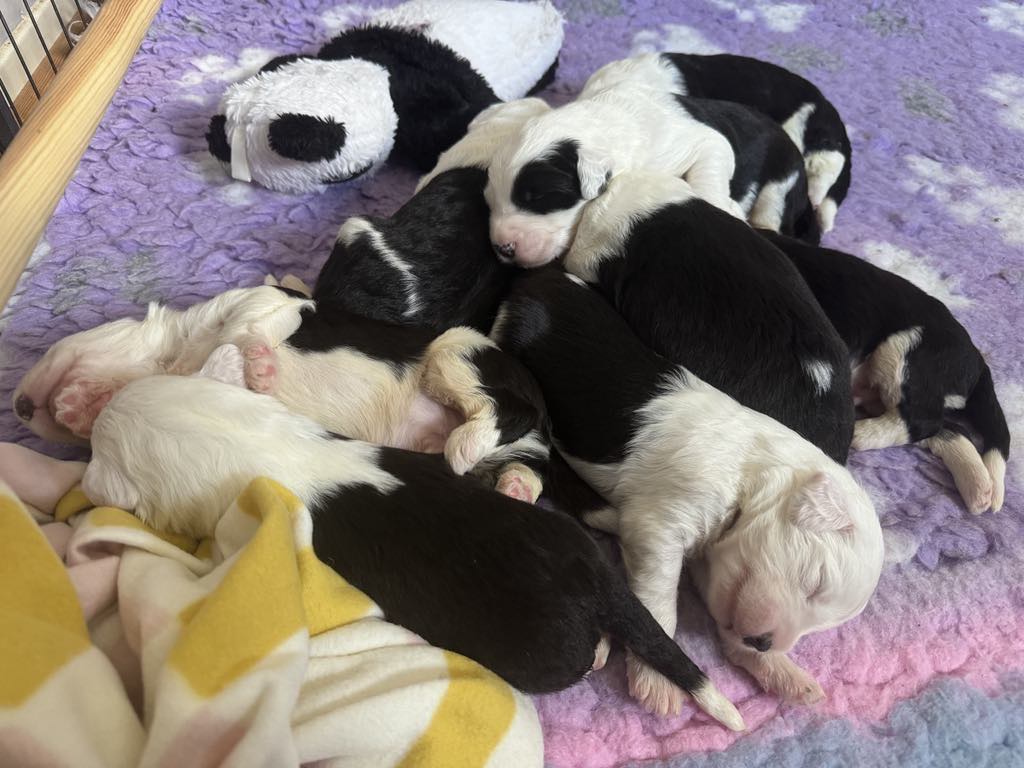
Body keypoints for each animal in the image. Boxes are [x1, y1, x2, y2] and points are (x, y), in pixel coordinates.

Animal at [483, 80, 811, 268]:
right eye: (489, 201)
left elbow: (709, 174)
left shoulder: (701, 142)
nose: (502, 248)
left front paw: (726, 207)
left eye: (537, 197)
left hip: (781, 184)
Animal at [491, 266, 884, 716]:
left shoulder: (715, 567)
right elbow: (659, 601)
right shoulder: (660, 527)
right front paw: (658, 680)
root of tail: (533, 278)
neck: (750, 475)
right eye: (814, 581)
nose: (764, 642)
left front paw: (785, 675)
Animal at [757, 230, 1011, 518]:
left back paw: (862, 434)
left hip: (906, 352)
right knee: (951, 430)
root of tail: (977, 358)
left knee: (923, 421)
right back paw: (978, 488)